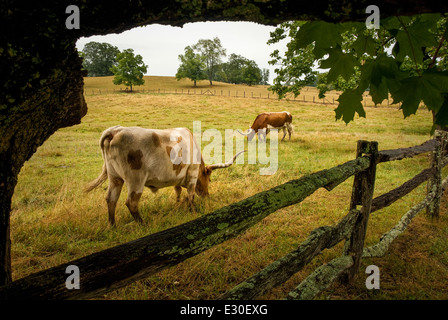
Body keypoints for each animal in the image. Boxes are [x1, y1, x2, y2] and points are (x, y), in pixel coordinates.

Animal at [85, 125, 243, 225]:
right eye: (209, 178)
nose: (206, 195)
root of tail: (116, 131)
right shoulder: (192, 175)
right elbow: (190, 195)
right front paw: (192, 211)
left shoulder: (177, 178)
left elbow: (178, 191)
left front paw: (178, 204)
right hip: (136, 180)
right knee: (131, 203)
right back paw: (144, 225)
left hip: (115, 178)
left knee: (111, 200)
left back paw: (112, 225)